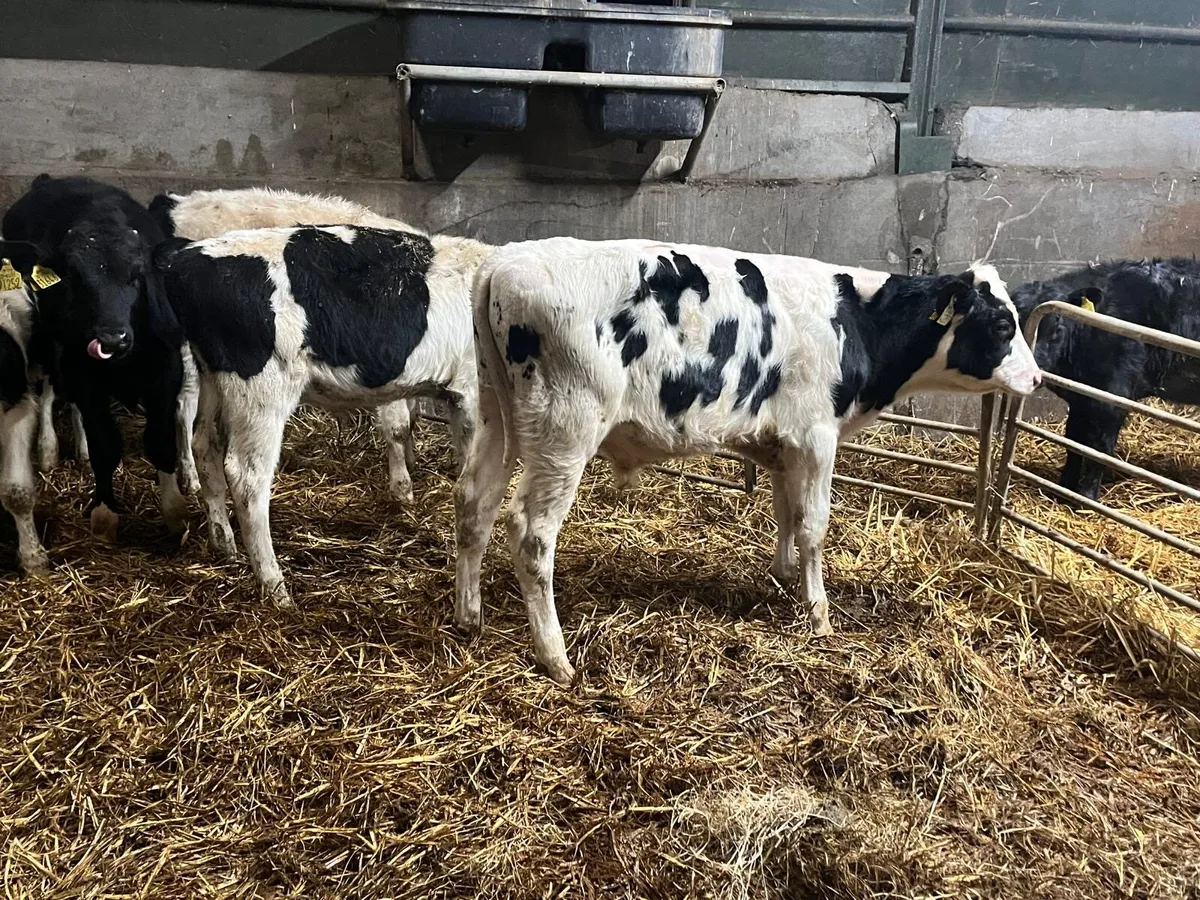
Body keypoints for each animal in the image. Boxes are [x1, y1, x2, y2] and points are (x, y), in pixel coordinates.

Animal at [2, 175, 186, 542]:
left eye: (137, 274)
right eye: (75, 278)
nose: (111, 338)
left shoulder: (166, 373)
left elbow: (160, 442)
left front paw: (174, 512)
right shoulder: (84, 376)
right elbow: (106, 445)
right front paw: (105, 513)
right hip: (49, 343)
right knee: (51, 392)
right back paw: (51, 449)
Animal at [149, 187, 424, 503]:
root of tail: (175, 202)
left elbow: (412, 415)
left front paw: (411, 460)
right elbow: (398, 425)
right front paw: (402, 487)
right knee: (182, 406)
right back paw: (187, 480)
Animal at [153, 223, 492, 605]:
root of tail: (187, 257)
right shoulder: (471, 394)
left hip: (212, 376)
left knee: (205, 446)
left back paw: (223, 544)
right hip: (261, 390)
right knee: (246, 477)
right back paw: (276, 588)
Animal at [453, 238, 1043, 683]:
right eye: (1000, 325)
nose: (1037, 379)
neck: (856, 319)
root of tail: (504, 261)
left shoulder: (783, 445)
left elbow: (787, 514)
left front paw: (783, 578)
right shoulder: (816, 436)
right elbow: (814, 526)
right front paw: (819, 614)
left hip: (496, 417)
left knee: (473, 504)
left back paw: (469, 616)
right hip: (566, 431)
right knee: (530, 532)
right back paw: (555, 658)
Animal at [1012, 257, 1200, 502]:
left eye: (1057, 324)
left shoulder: (1113, 397)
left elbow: (1099, 448)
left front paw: (1086, 497)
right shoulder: (1081, 397)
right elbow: (1074, 441)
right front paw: (1064, 489)